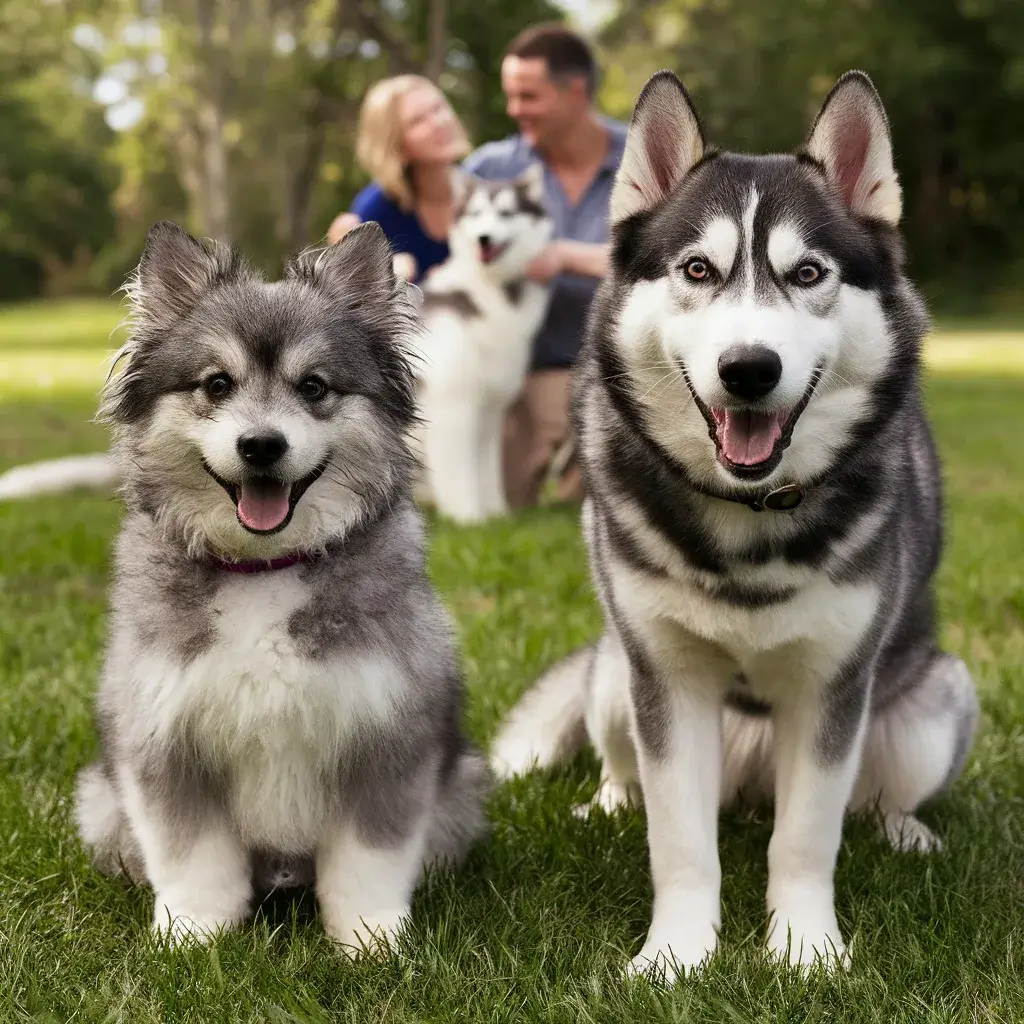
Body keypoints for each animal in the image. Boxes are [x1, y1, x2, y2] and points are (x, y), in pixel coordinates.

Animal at [72, 220, 487, 954]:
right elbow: (191, 856)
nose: (261, 445)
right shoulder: (166, 742)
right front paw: (194, 937)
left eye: (315, 386)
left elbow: (369, 859)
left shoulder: (386, 738)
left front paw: (371, 941)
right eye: (216, 383)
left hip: (463, 782)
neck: (265, 569)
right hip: (97, 799)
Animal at [415, 165, 557, 528]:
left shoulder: (489, 413)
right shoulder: (453, 407)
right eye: (476, 214)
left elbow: (486, 471)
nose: (484, 238)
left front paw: (496, 515)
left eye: (505, 213)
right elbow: (461, 475)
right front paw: (468, 519)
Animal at [491, 70, 978, 974]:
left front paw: (805, 950)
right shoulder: (667, 681)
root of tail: (749, 780)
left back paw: (906, 832)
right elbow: (682, 842)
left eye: (810, 272)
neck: (750, 516)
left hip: (936, 699)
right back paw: (608, 805)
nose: (749, 369)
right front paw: (677, 956)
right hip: (615, 676)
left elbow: (806, 839)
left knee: (876, 799)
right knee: (627, 770)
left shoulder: (831, 689)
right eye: (697, 267)